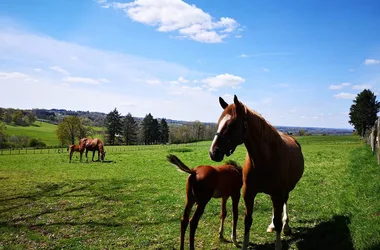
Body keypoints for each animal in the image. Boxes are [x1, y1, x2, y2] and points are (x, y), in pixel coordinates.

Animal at [209, 95, 304, 250]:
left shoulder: (278, 192)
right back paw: (272, 225)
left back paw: (286, 226)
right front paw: (244, 244)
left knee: (283, 204)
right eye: (218, 123)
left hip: (285, 190)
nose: (213, 152)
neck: (265, 158)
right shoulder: (248, 192)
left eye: (231, 124)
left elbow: (278, 220)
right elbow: (248, 220)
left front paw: (278, 243)